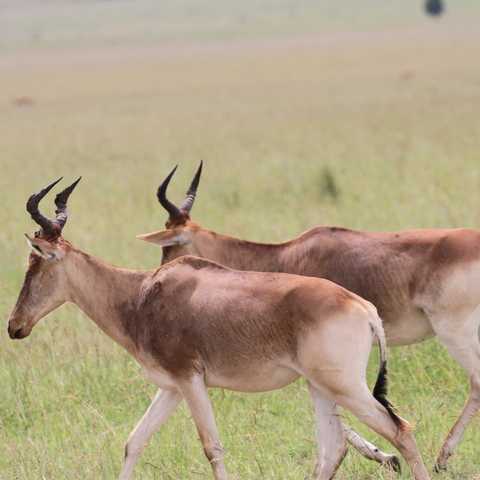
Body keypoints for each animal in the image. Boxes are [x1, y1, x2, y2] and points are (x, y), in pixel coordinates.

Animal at [7, 179, 430, 480]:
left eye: (34, 264)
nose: (14, 326)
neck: (143, 292)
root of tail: (364, 308)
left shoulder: (190, 379)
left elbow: (212, 447)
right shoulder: (171, 388)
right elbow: (134, 442)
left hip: (344, 386)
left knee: (401, 432)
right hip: (319, 386)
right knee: (333, 450)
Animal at [138, 162, 480, 472]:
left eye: (168, 248)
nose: (156, 279)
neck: (287, 253)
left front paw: (385, 456)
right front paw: (386, 456)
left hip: (453, 330)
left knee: (475, 380)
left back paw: (442, 458)